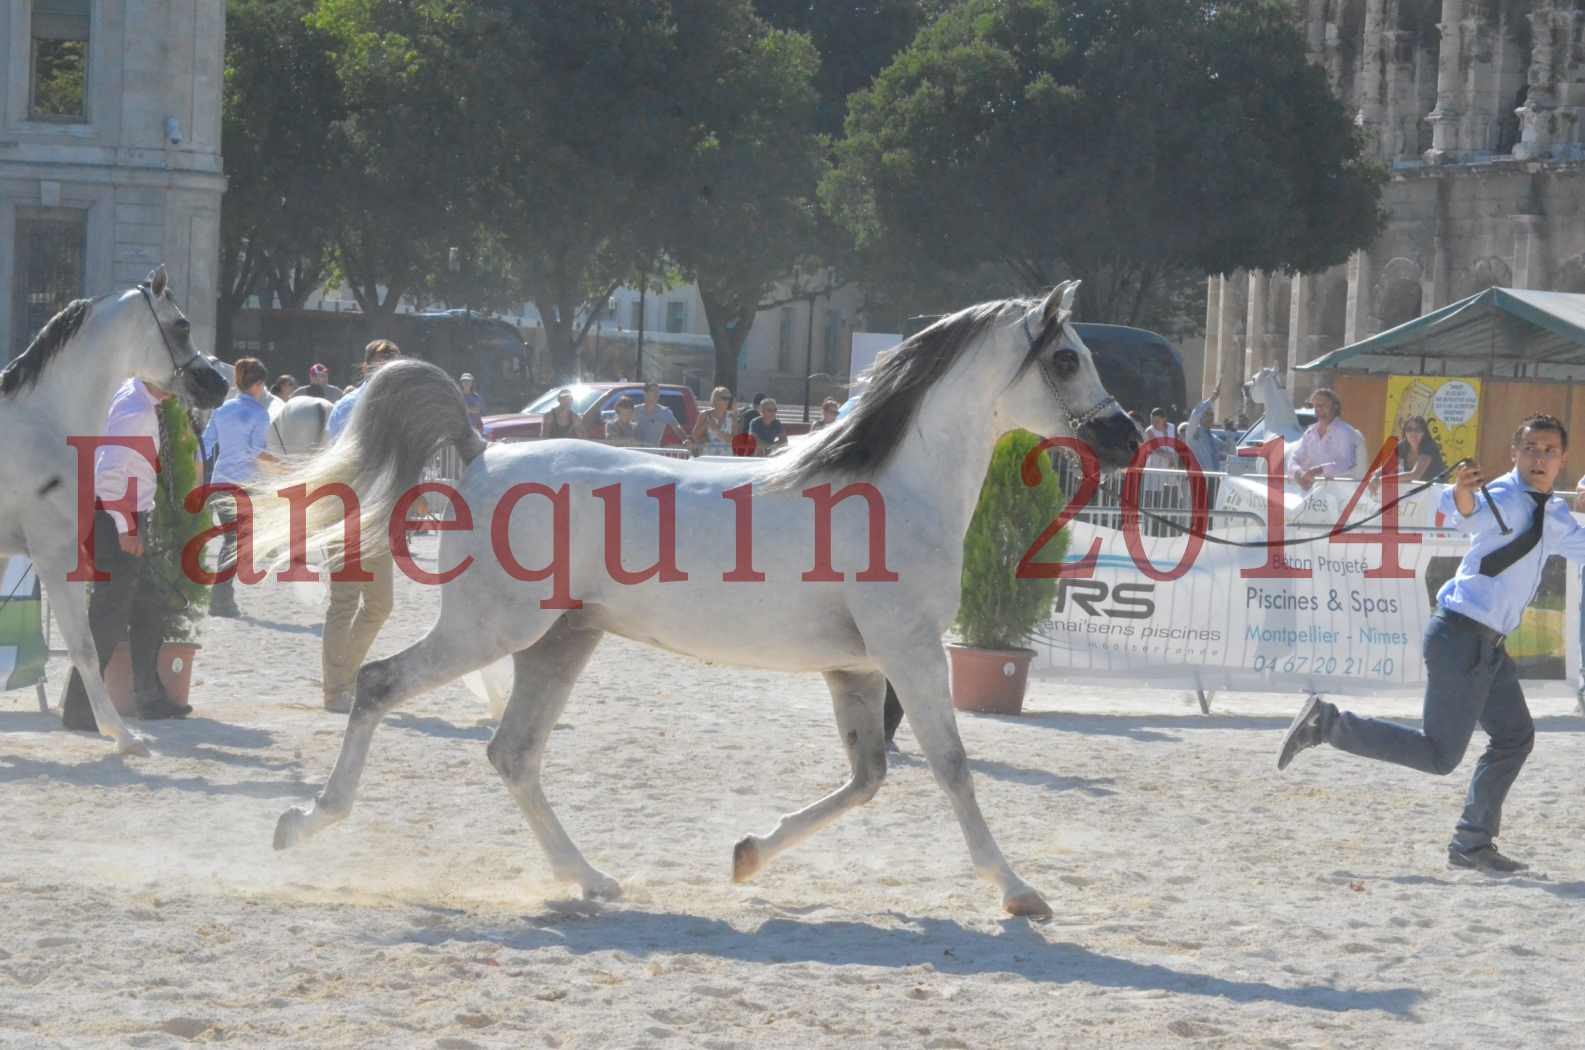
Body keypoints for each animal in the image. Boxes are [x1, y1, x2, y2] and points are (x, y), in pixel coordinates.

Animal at [0, 268, 229, 751]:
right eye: (181, 325)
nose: (217, 385)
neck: (43, 422)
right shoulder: (53, 555)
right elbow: (85, 646)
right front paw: (122, 734)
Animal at [269, 283, 1141, 919]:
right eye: (1067, 358)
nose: (1127, 438)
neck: (896, 489)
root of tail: (482, 453)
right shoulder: (912, 652)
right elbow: (952, 767)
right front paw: (1019, 893)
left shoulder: (857, 668)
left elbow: (866, 777)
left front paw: (747, 855)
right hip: (492, 628)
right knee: (380, 685)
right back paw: (304, 823)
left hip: (561, 639)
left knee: (512, 753)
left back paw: (590, 880)